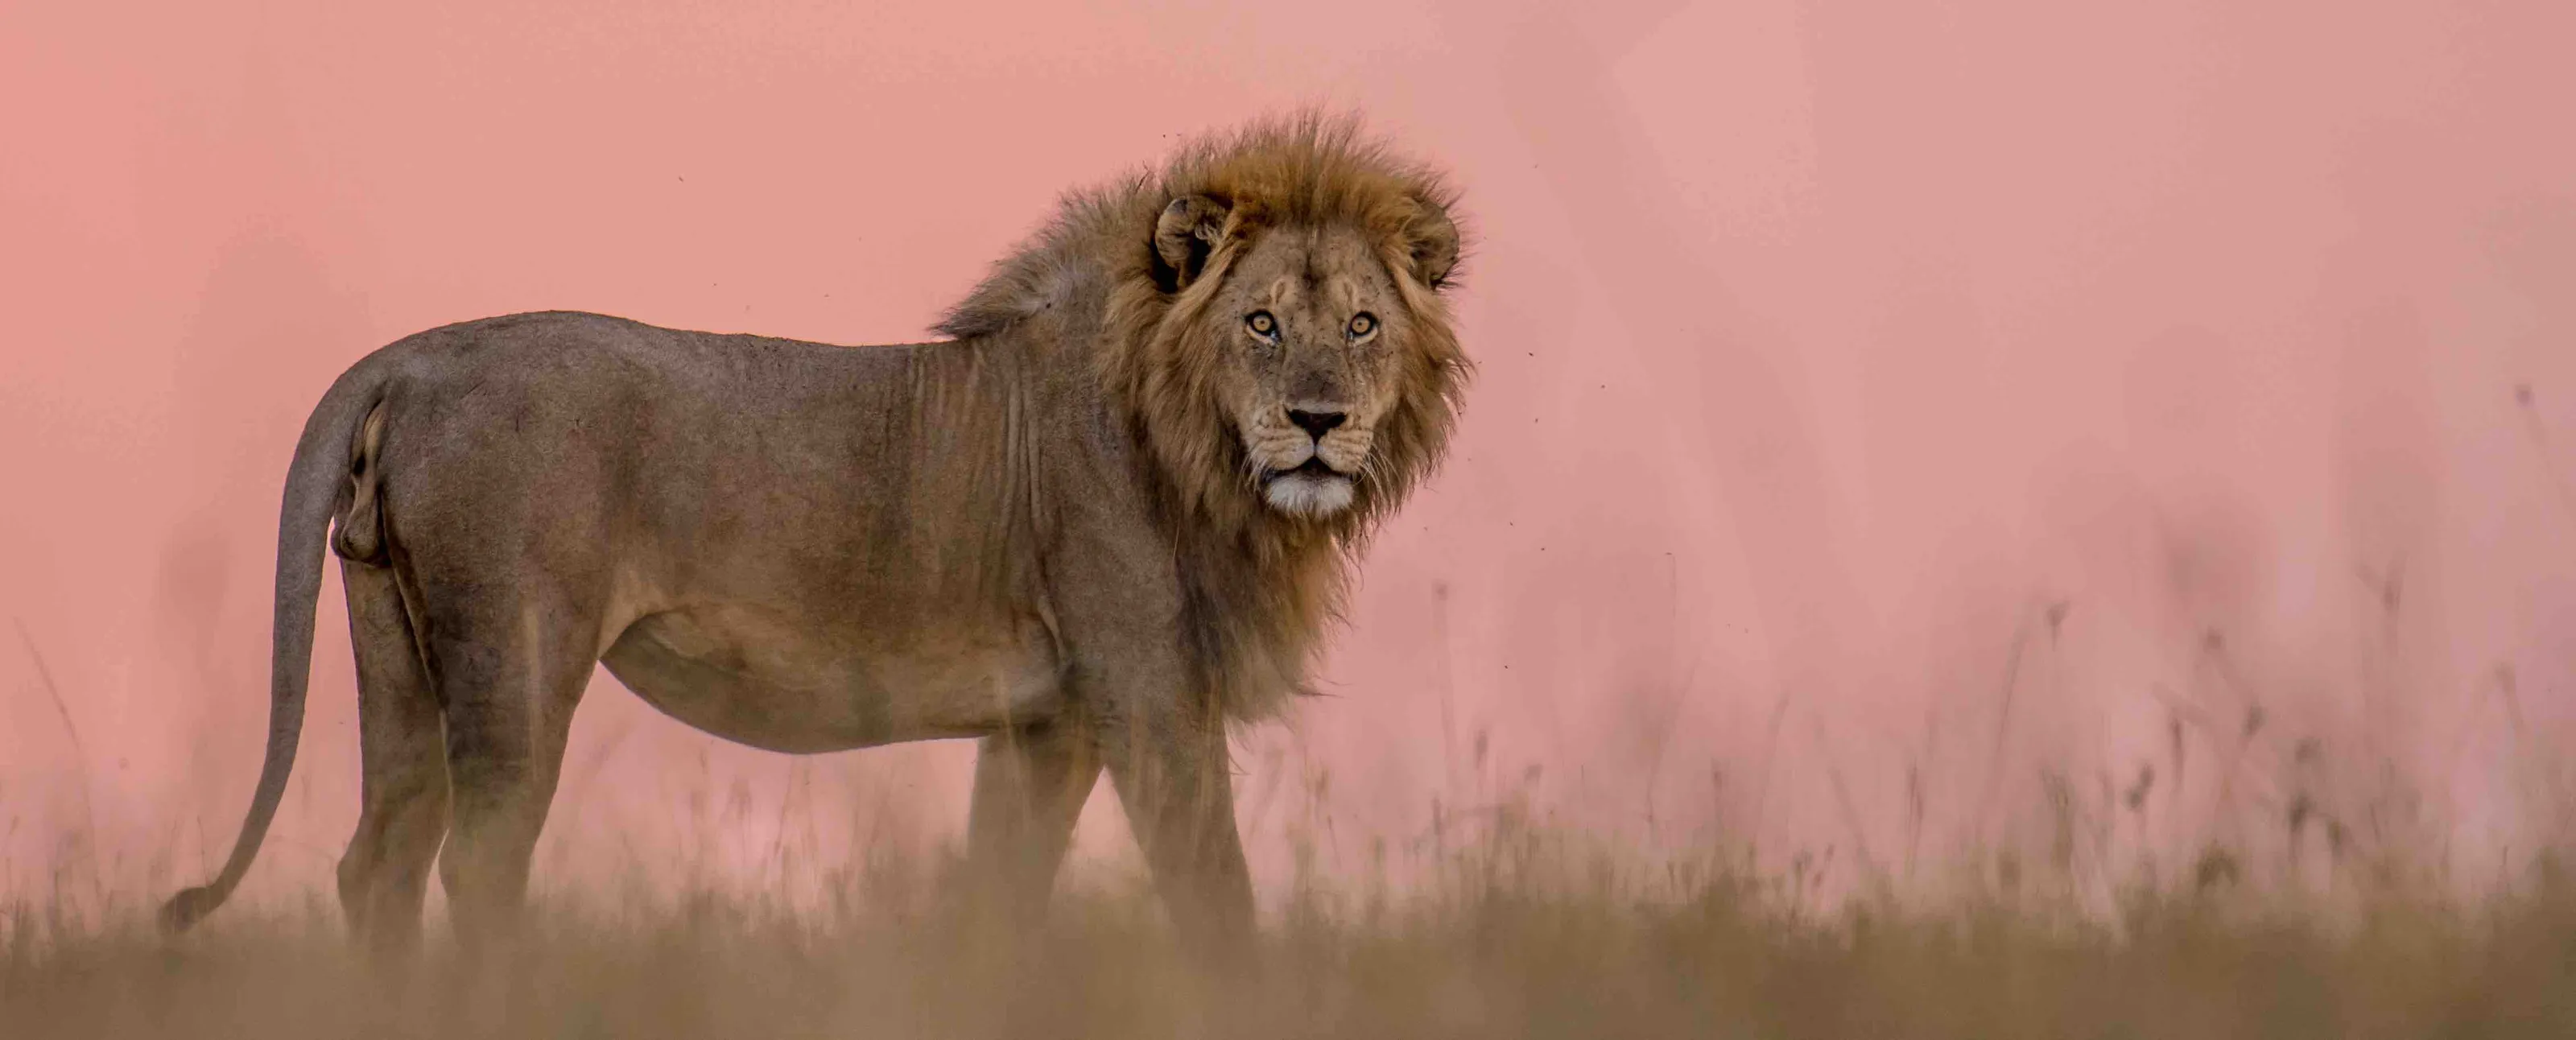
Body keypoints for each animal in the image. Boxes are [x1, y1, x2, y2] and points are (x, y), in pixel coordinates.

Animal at [158, 110, 1470, 958]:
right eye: (1261, 322)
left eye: (1361, 324)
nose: (1319, 421)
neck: (1201, 455)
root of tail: (413, 355)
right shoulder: (1148, 692)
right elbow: (1218, 900)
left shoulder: (1044, 724)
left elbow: (1000, 901)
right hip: (517, 657)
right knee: (478, 865)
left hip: (392, 643)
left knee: (375, 865)